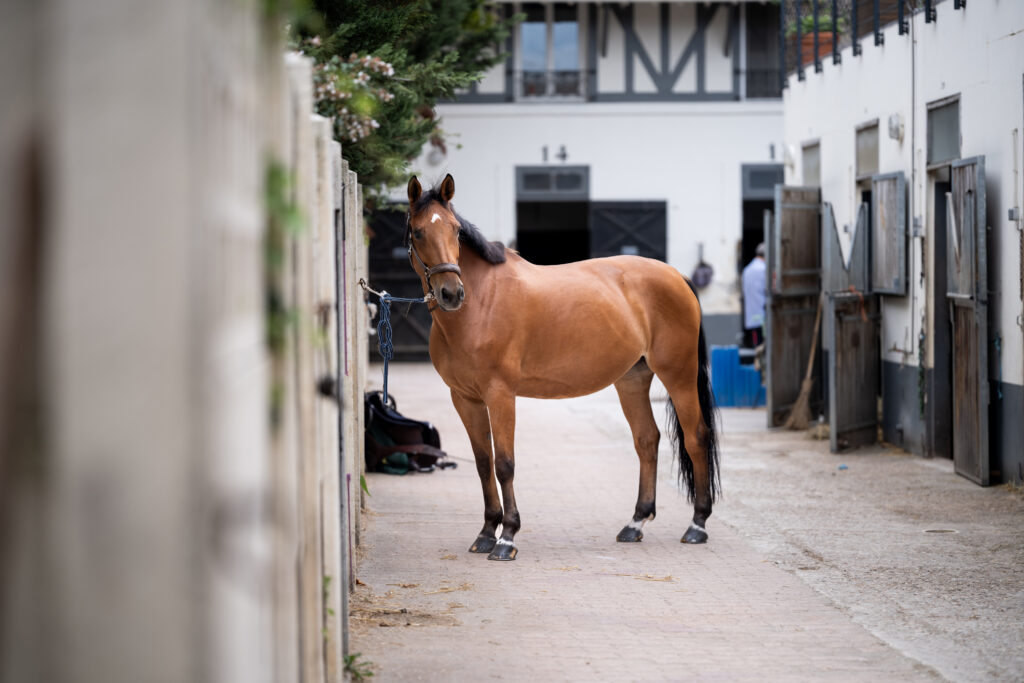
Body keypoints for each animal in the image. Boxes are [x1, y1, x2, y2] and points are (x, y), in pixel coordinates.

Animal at [403, 172, 716, 561]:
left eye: (456, 230)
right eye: (418, 232)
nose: (451, 293)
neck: (480, 304)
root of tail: (677, 276)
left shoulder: (500, 395)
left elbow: (505, 463)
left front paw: (507, 538)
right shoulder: (464, 398)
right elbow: (482, 462)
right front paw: (487, 532)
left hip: (679, 375)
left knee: (696, 437)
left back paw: (697, 524)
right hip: (632, 379)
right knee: (647, 439)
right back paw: (635, 523)